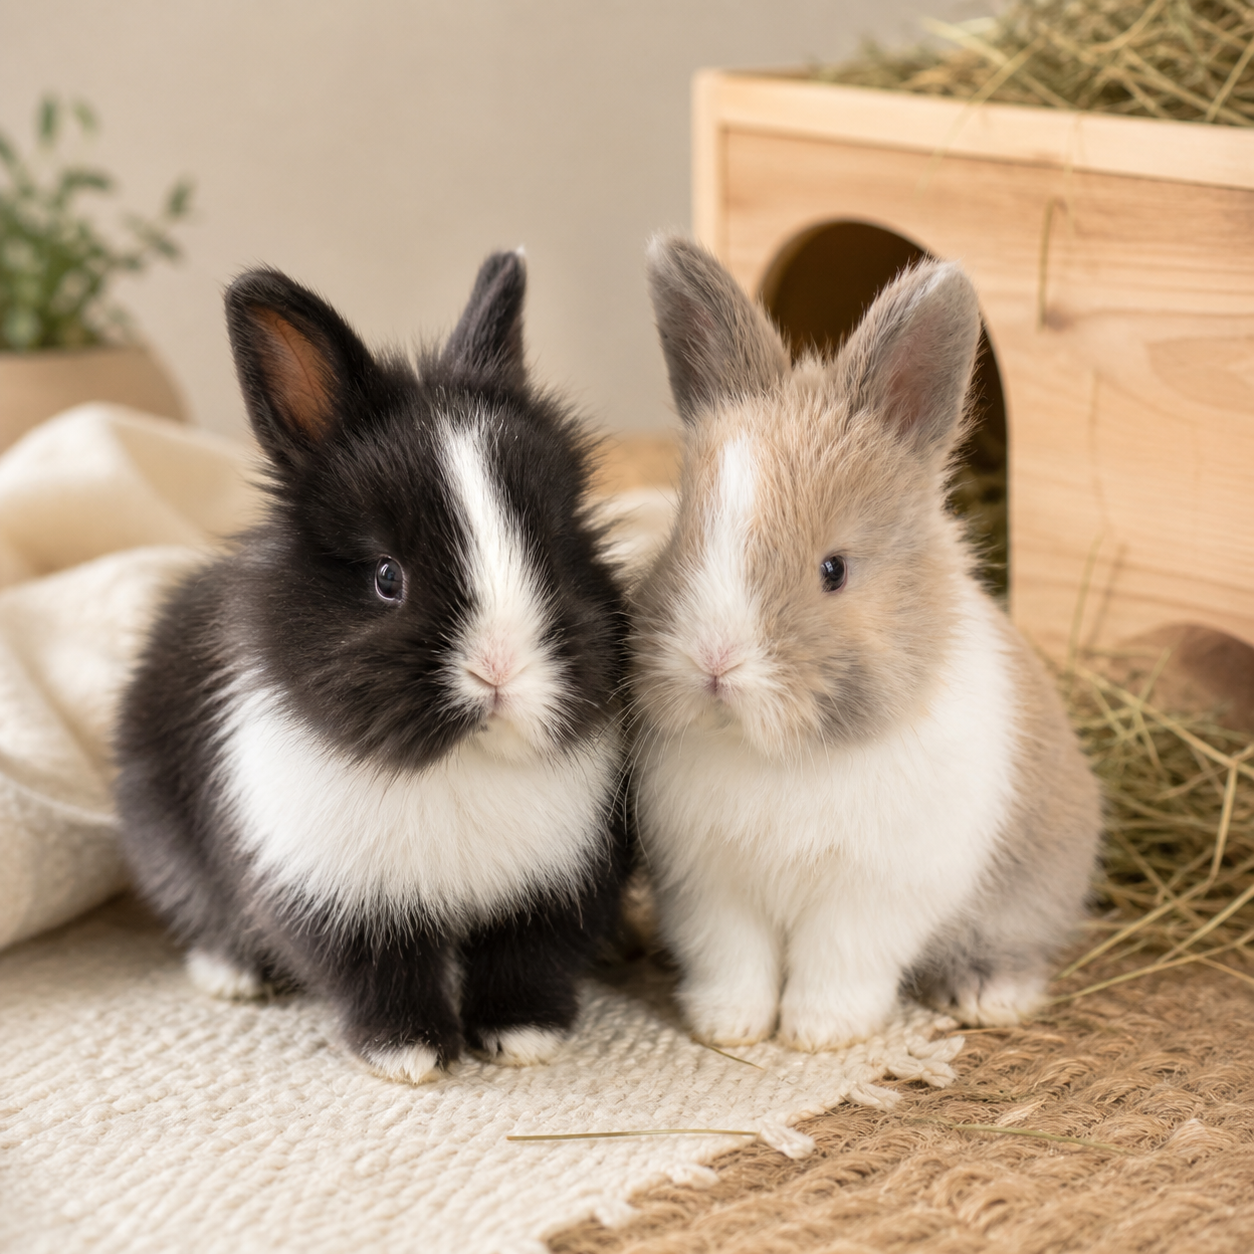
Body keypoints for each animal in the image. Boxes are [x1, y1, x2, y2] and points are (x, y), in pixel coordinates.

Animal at [114, 251, 632, 1083]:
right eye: (388, 578)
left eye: (554, 550)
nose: (500, 671)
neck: (460, 762)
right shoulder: (337, 900)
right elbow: (381, 975)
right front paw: (410, 1054)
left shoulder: (555, 890)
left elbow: (525, 962)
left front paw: (523, 1040)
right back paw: (233, 976)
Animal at [629, 235, 1101, 1052]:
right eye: (681, 540)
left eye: (834, 570)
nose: (714, 665)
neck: (779, 758)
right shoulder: (710, 890)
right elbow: (735, 961)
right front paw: (730, 1028)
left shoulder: (873, 896)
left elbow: (838, 962)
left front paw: (819, 1033)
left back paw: (988, 995)